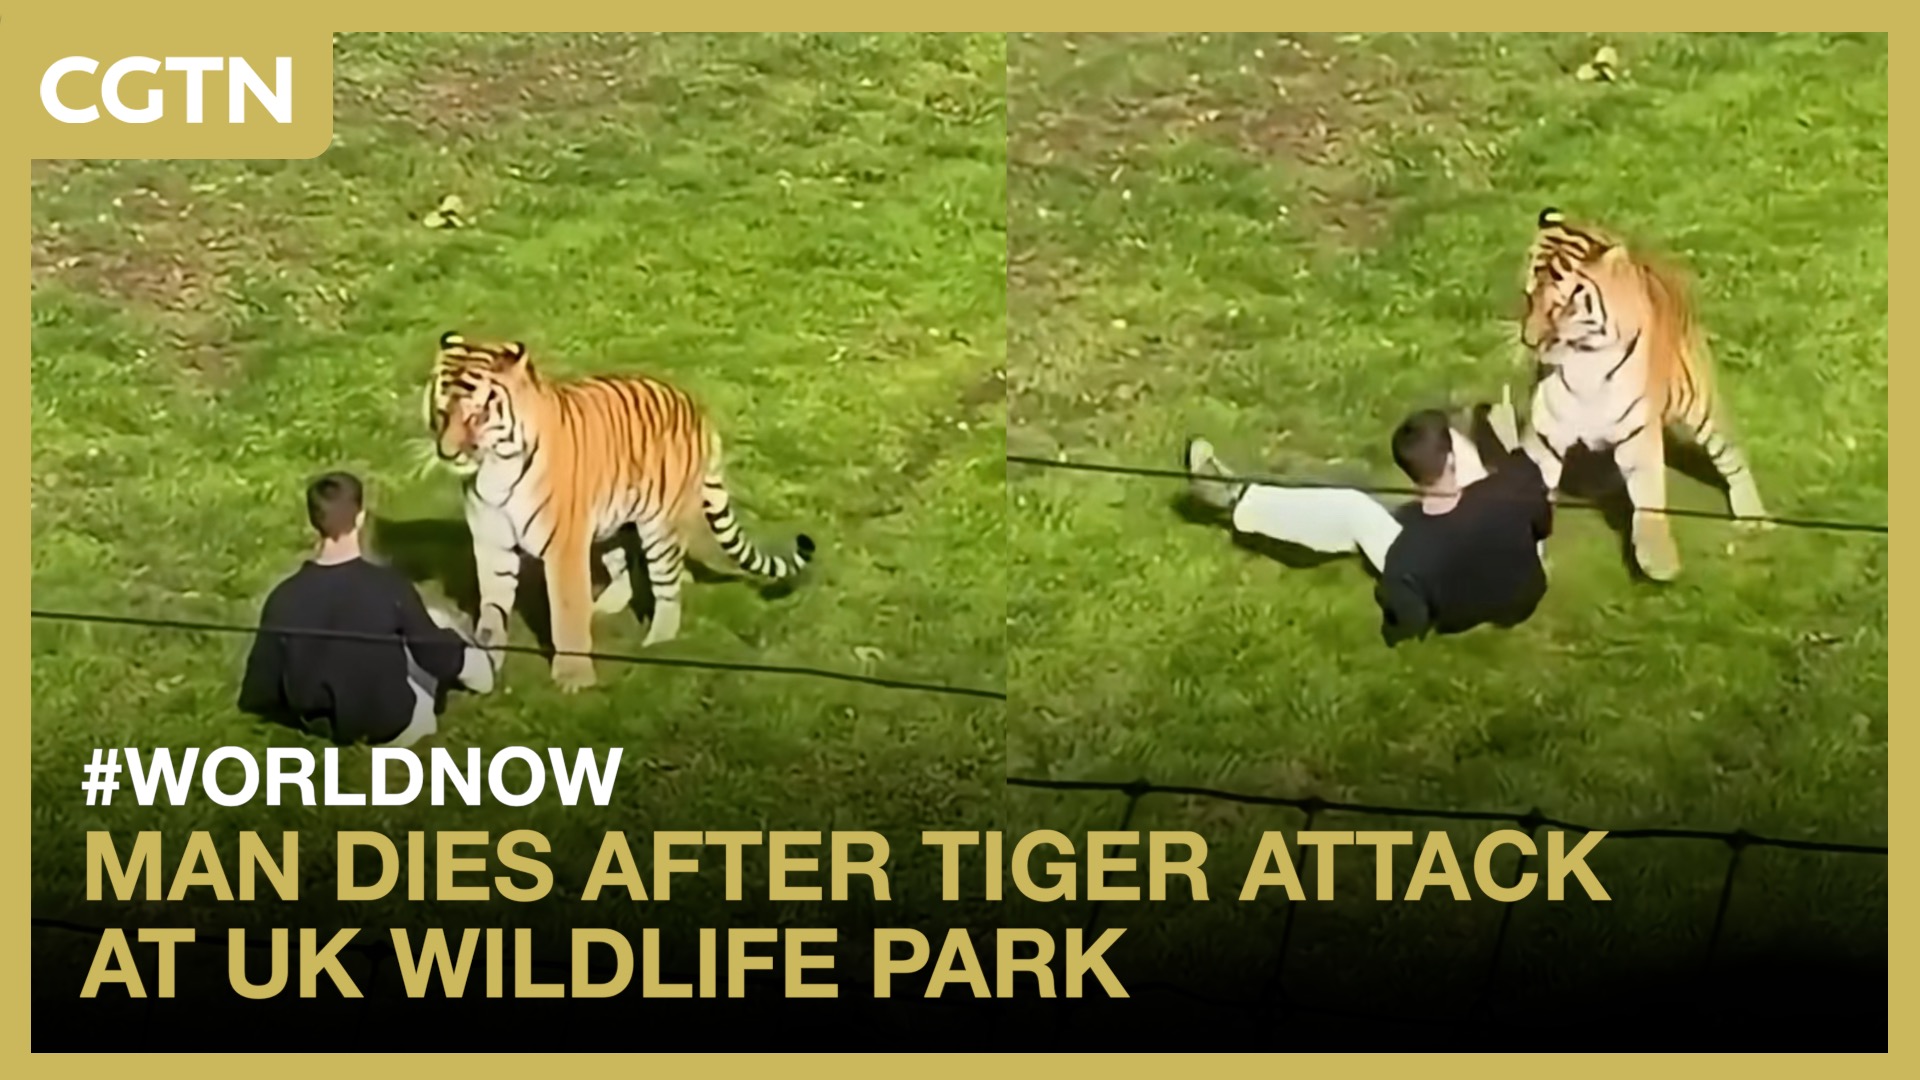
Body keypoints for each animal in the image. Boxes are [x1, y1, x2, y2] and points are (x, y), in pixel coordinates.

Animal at [425, 332, 816, 692]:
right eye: (441, 412)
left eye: (477, 414)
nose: (447, 453)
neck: (494, 469)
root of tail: (697, 409)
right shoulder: (492, 542)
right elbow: (492, 606)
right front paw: (487, 661)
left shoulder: (563, 546)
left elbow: (566, 610)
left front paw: (574, 679)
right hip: (613, 518)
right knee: (624, 563)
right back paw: (603, 606)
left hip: (660, 527)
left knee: (667, 585)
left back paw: (658, 643)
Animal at [1517, 207, 1769, 583]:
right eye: (1528, 297)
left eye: (1560, 308)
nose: (1529, 341)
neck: (1583, 361)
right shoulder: (1546, 433)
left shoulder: (1637, 432)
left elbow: (1648, 495)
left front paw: (1657, 561)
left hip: (1701, 405)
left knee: (1732, 455)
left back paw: (1752, 515)